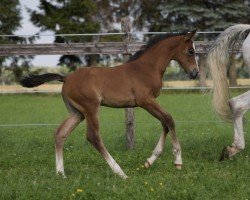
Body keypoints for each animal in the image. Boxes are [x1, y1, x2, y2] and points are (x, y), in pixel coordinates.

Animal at [20, 30, 198, 179]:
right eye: (191, 51)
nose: (195, 73)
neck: (147, 68)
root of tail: (66, 78)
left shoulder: (150, 102)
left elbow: (165, 123)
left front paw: (150, 161)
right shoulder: (145, 101)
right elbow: (169, 119)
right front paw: (178, 160)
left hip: (77, 113)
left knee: (60, 134)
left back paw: (61, 173)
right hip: (91, 109)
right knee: (93, 136)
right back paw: (120, 172)